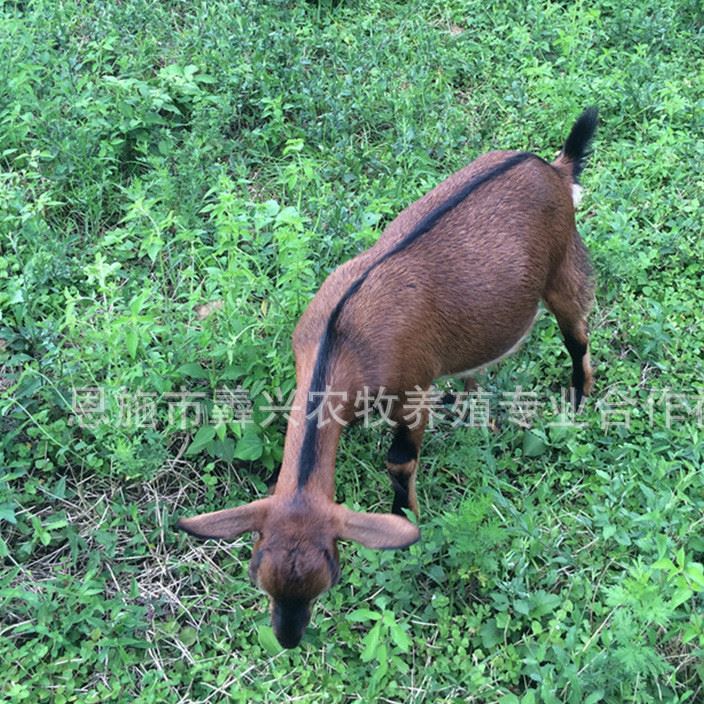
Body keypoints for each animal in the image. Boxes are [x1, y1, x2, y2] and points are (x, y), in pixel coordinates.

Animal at [179, 108, 596, 648]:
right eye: (258, 571)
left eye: (330, 573)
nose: (289, 638)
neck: (341, 340)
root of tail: (553, 168)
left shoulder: (411, 389)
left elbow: (400, 462)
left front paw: (406, 520)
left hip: (562, 266)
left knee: (577, 335)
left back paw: (578, 399)